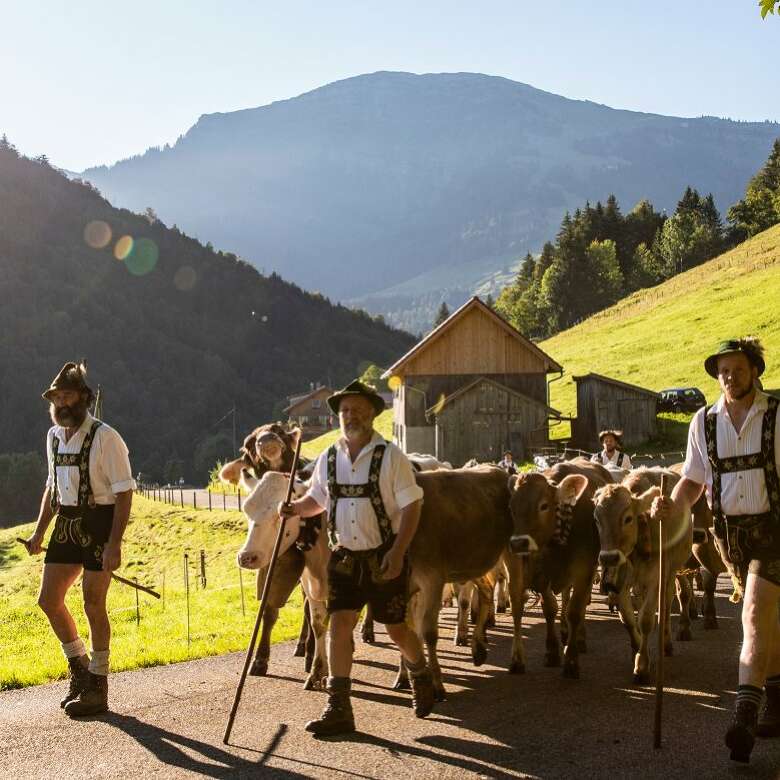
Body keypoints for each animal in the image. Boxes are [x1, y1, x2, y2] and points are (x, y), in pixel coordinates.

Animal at [506, 458, 608, 676]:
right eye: (512, 507)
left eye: (544, 506)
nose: (518, 543)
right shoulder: (542, 573)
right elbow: (550, 609)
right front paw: (552, 651)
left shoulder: (584, 570)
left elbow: (575, 611)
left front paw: (571, 660)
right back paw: (564, 631)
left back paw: (579, 637)